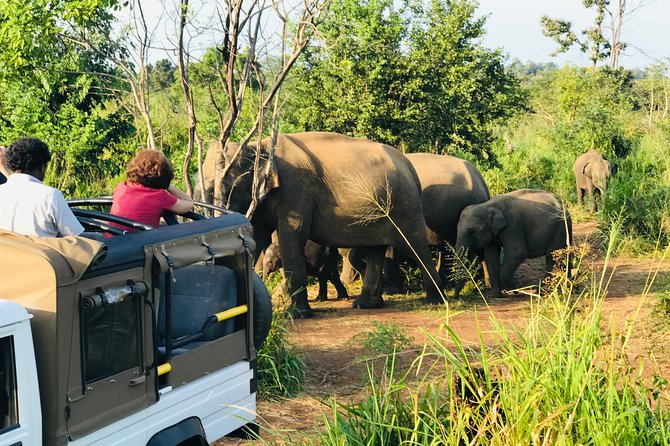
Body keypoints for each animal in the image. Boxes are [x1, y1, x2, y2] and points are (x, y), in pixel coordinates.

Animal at [201, 132, 445, 317]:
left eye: (215, 188)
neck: (258, 146)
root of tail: (410, 167)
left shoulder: (296, 190)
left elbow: (292, 236)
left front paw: (296, 315)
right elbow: (257, 238)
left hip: (404, 207)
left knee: (415, 247)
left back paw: (435, 301)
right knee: (375, 250)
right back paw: (366, 305)